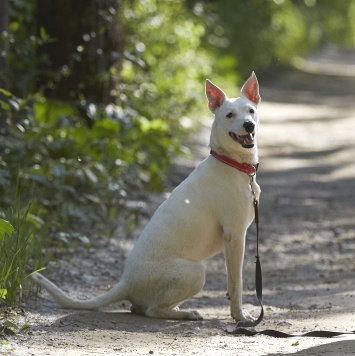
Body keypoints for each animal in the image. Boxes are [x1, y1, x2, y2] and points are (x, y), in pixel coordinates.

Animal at [32, 73, 262, 322]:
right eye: (229, 115)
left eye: (250, 110)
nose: (249, 125)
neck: (231, 163)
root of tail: (125, 282)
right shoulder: (235, 237)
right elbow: (237, 283)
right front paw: (240, 316)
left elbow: (232, 281)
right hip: (195, 271)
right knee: (153, 310)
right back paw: (187, 313)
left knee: (141, 307)